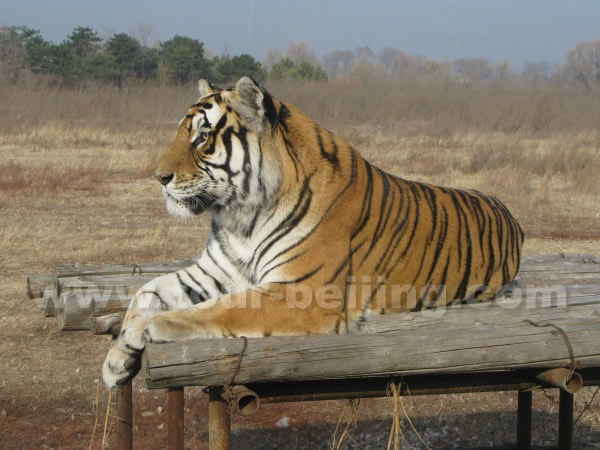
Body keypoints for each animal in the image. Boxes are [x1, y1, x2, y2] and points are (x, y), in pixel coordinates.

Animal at [102, 75, 520, 384]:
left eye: (203, 137)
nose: (159, 177)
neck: (243, 216)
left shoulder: (303, 292)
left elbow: (219, 309)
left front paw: (150, 327)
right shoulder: (215, 271)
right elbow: (145, 291)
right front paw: (117, 361)